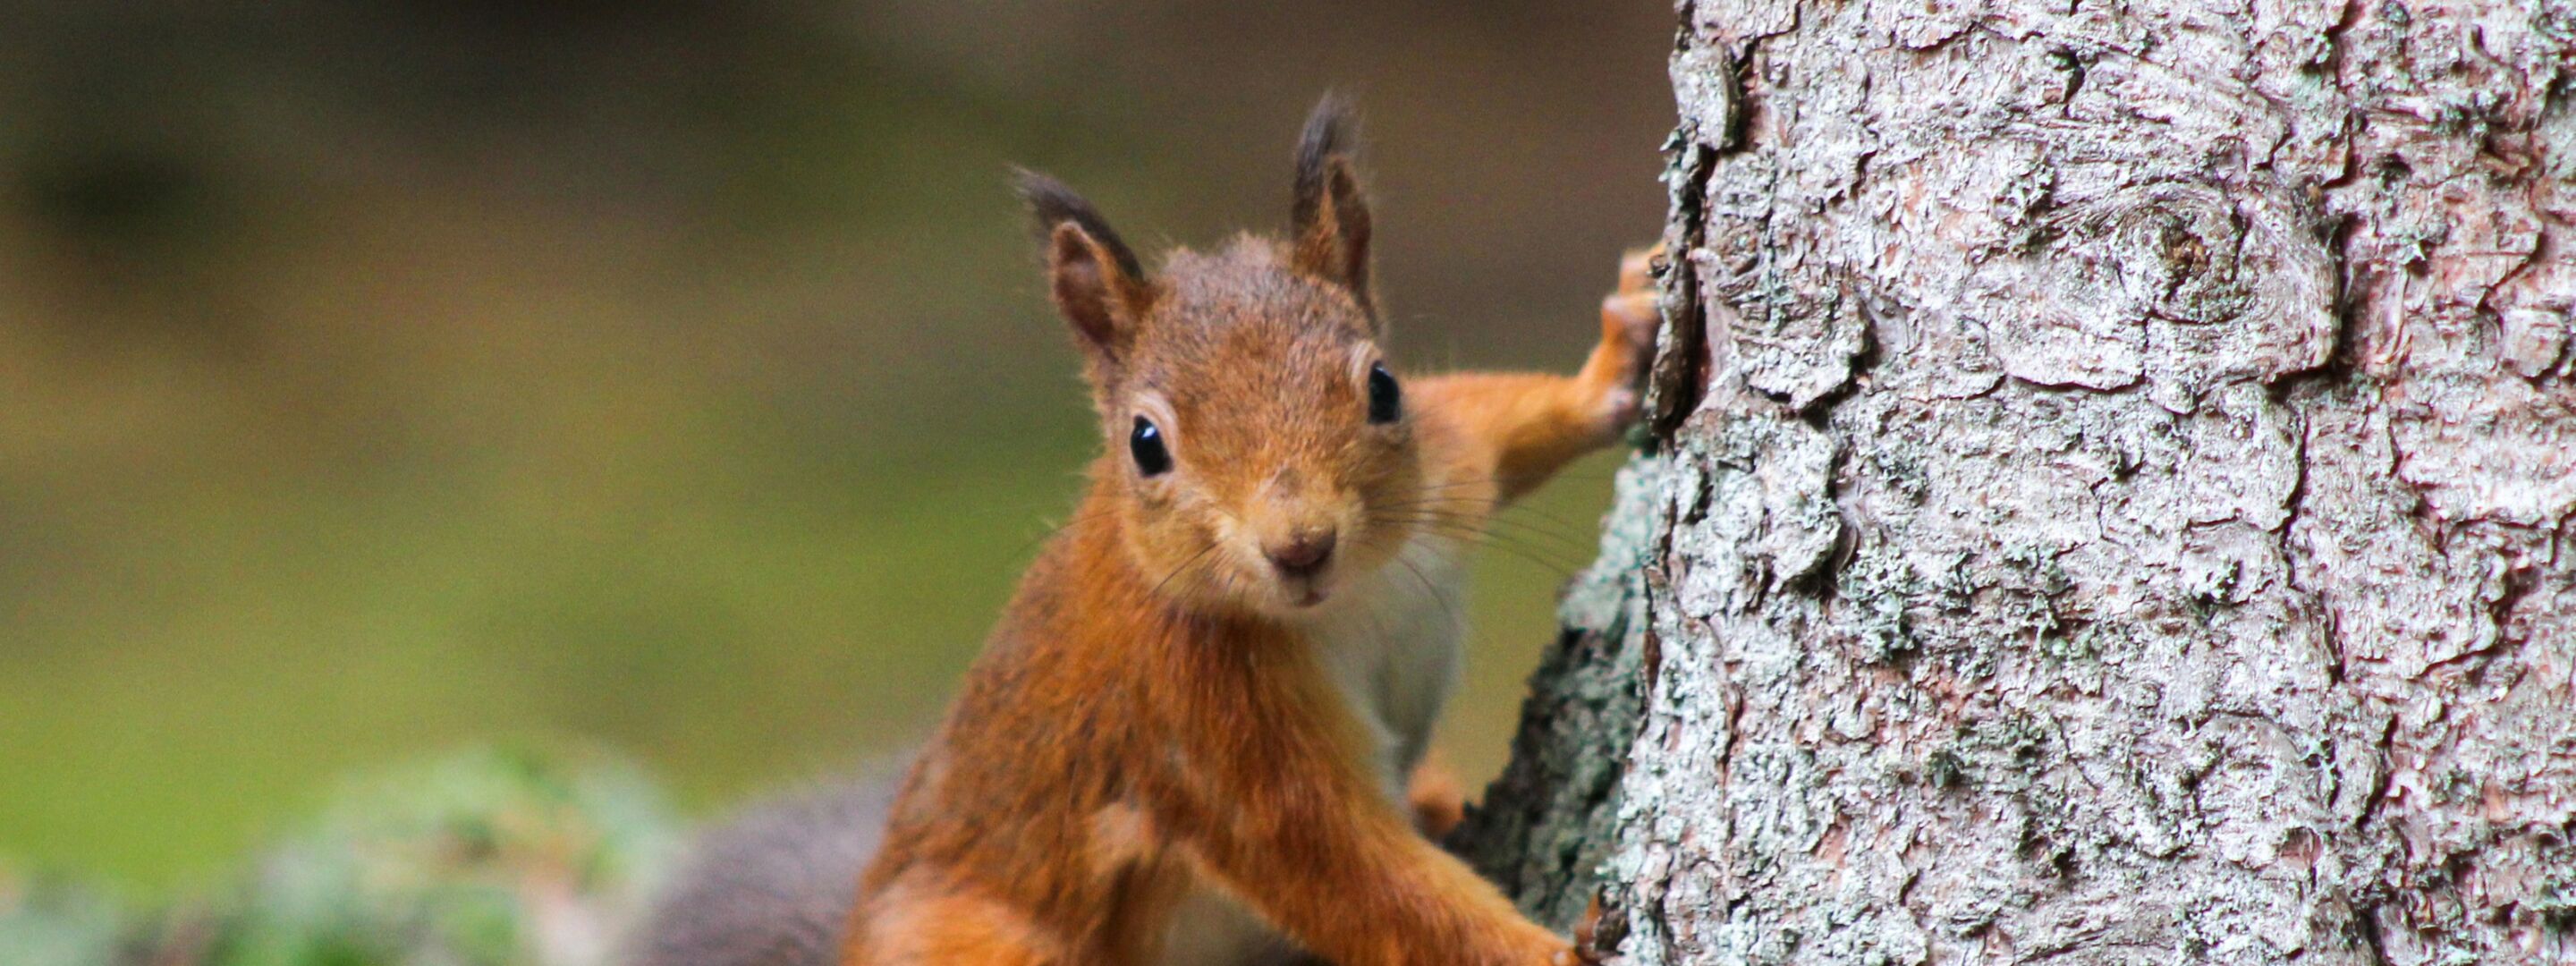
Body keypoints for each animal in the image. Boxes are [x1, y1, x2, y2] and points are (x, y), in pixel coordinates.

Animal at [624, 96, 1659, 966]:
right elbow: (1361, 880)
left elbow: (1490, 416)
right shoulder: (1206, 729)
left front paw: (1615, 357)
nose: (1300, 545)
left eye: (1382, 387)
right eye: (1146, 443)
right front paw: (1555, 955)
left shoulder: (1447, 471)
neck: (1346, 603)